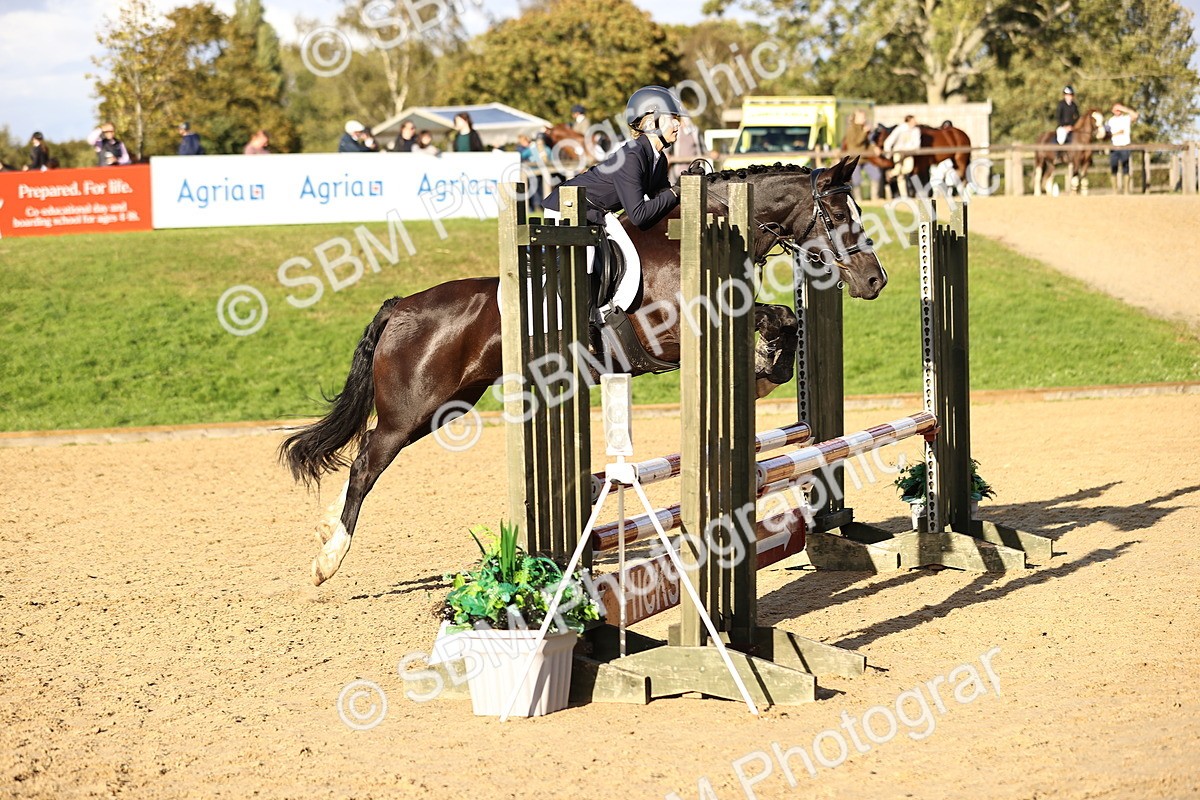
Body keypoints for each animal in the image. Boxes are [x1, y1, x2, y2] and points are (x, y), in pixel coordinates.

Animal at [280, 156, 889, 586]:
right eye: (839, 217)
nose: (875, 281)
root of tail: (402, 305)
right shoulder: (672, 334)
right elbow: (772, 318)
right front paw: (765, 366)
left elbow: (782, 320)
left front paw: (770, 366)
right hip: (414, 407)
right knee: (367, 460)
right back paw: (328, 559)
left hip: (449, 404)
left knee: (366, 451)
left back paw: (326, 531)